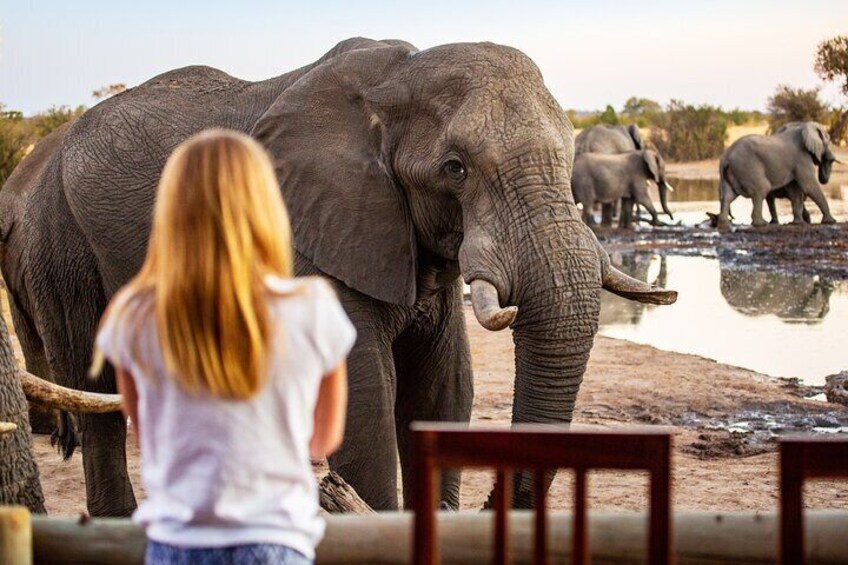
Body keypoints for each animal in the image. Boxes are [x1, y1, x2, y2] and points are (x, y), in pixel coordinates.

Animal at [0, 37, 677, 515]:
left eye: (568, 155)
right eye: (455, 169)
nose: (494, 503)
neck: (393, 79)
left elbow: (440, 387)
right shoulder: (314, 232)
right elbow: (367, 396)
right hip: (61, 242)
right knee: (93, 378)